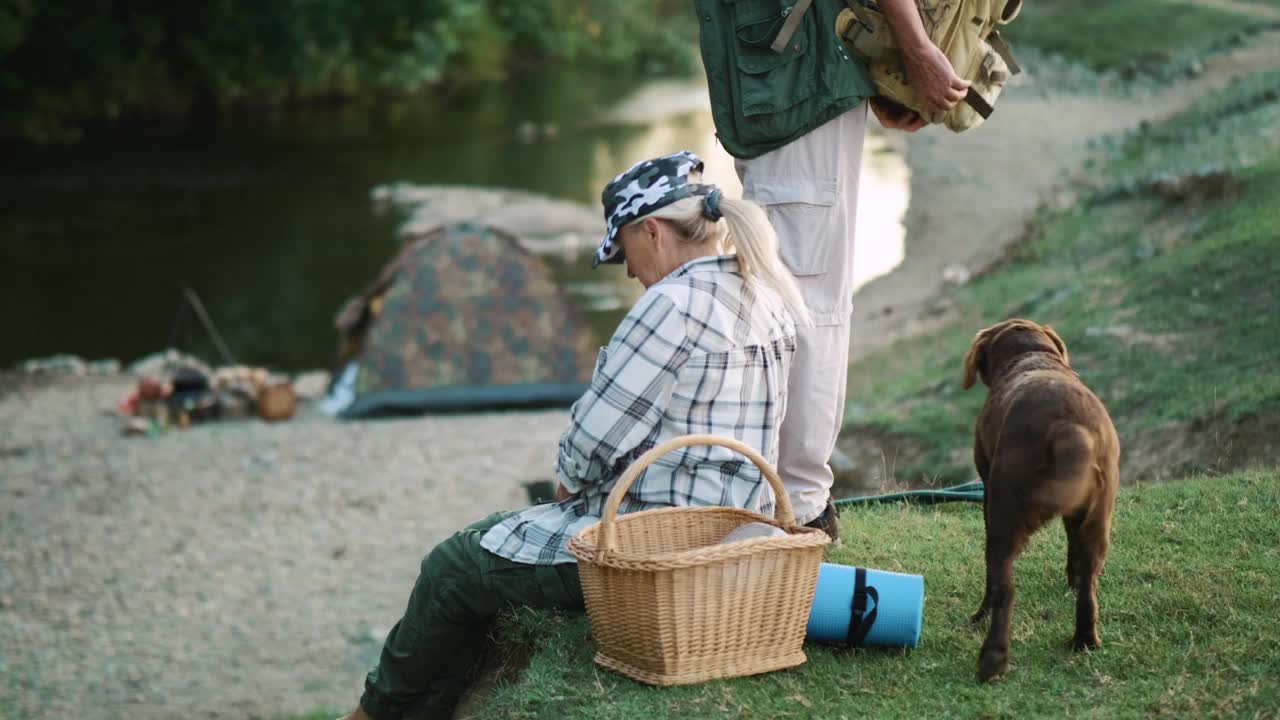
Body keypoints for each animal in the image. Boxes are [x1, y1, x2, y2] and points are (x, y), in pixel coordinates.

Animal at [962, 317, 1116, 676]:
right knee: (1089, 588)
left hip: (1003, 517)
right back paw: (1084, 640)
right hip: (1099, 521)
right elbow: (1074, 555)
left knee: (1003, 590)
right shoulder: (1077, 515)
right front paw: (1071, 579)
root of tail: (1067, 428)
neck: (1032, 356)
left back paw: (991, 657)